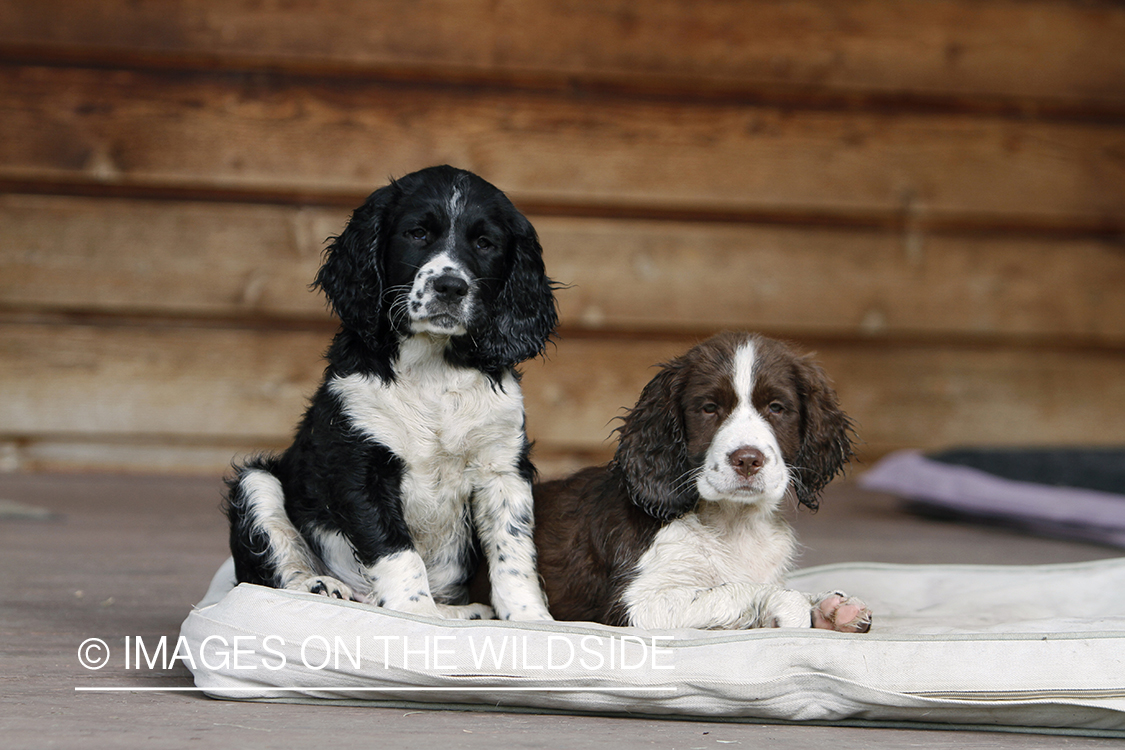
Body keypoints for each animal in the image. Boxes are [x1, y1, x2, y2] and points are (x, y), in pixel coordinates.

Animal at [227, 164, 558, 620]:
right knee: (270, 566)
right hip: (257, 482)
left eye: (484, 243)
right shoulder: (359, 463)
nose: (450, 286)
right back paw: (319, 585)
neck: (434, 369)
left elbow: (513, 550)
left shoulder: (502, 467)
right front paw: (413, 616)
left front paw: (529, 619)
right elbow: (396, 550)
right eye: (417, 234)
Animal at [531, 335, 873, 634]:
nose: (747, 460)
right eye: (709, 408)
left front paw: (832, 608)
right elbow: (733, 590)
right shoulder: (635, 604)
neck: (733, 521)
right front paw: (792, 604)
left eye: (776, 407)